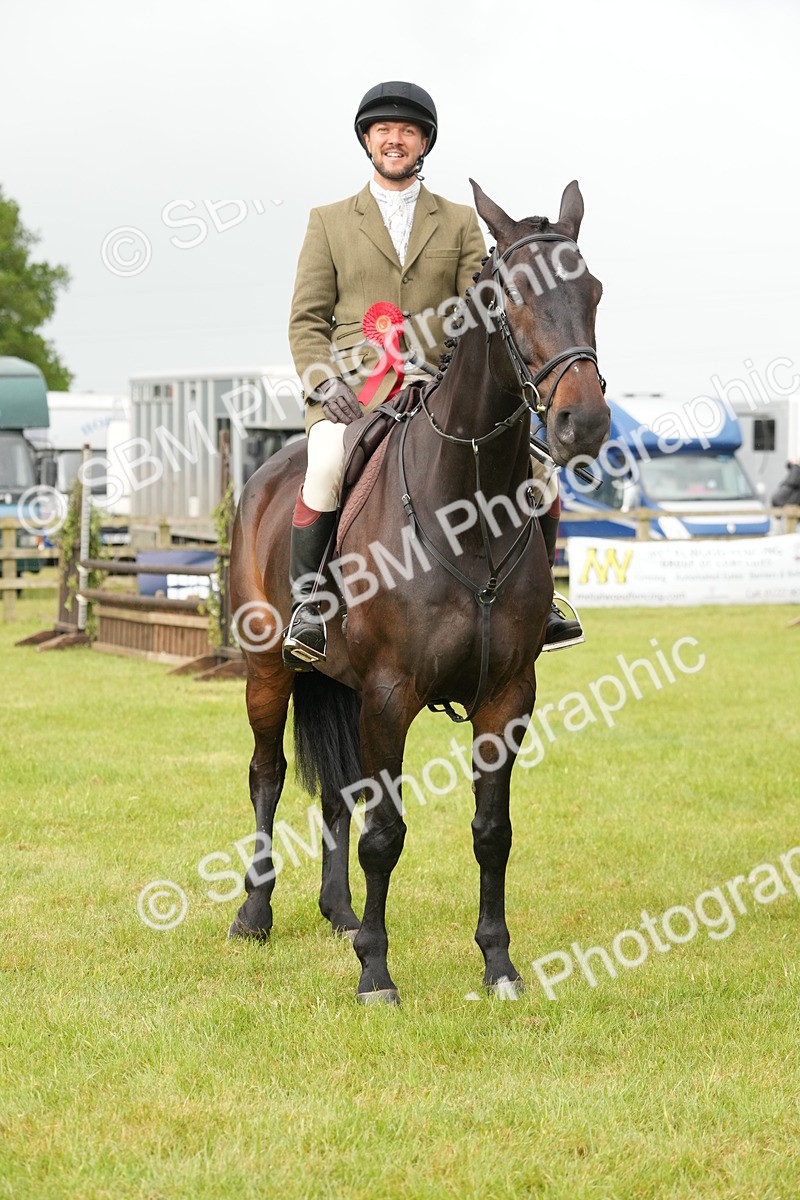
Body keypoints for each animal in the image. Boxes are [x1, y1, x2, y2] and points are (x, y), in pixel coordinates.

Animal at [227, 180, 610, 1004]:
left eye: (593, 290)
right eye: (506, 298)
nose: (585, 421)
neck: (468, 509)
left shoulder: (507, 695)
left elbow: (492, 833)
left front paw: (498, 965)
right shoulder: (388, 693)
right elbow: (385, 835)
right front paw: (376, 972)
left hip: (335, 683)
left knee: (335, 790)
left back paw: (338, 914)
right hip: (268, 669)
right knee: (268, 777)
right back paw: (255, 913)